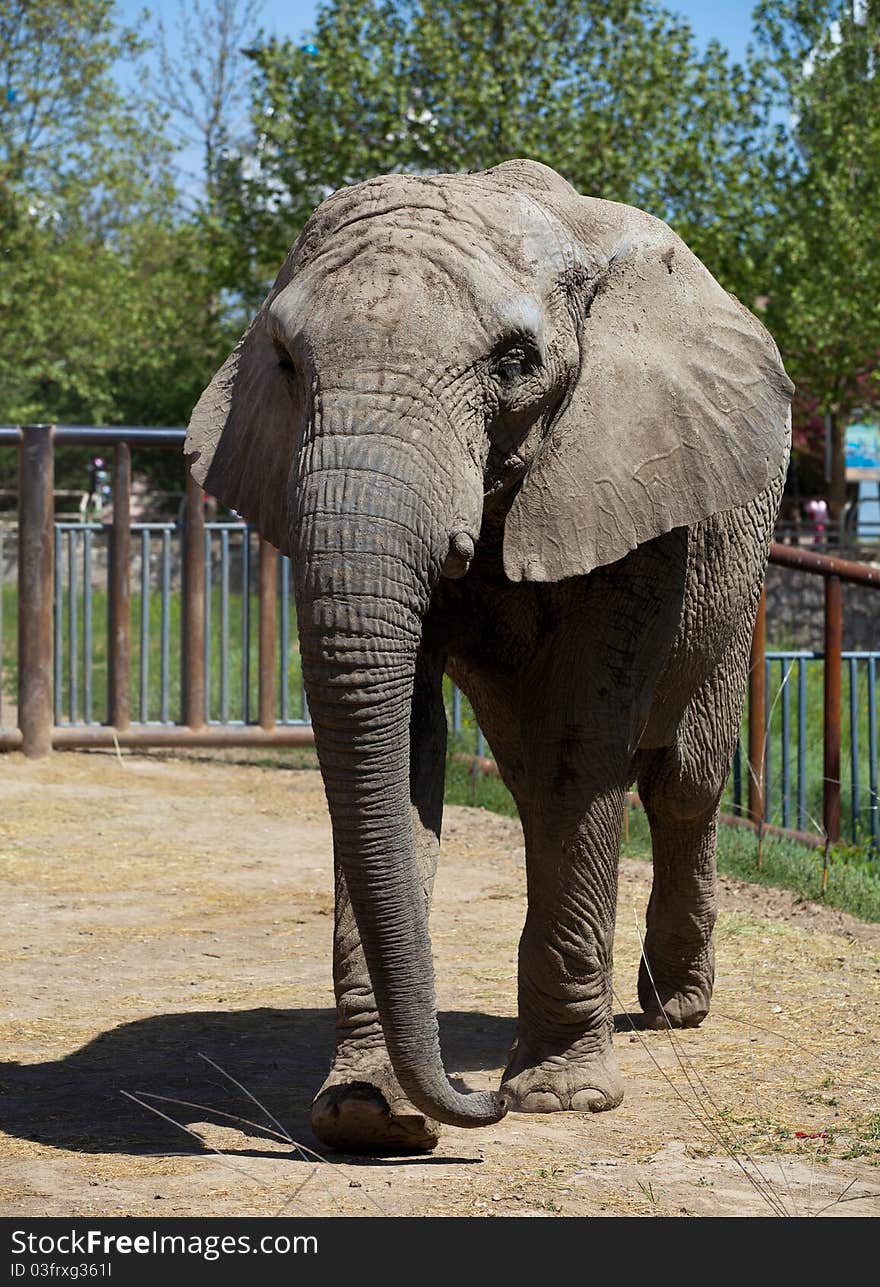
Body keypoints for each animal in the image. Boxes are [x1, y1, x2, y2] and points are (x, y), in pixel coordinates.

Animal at [183, 158, 792, 1158]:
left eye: (513, 363)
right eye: (286, 363)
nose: (476, 1106)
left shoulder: (631, 478)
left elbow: (583, 733)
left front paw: (559, 1098)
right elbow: (407, 742)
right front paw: (365, 1113)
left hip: (737, 563)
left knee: (680, 781)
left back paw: (675, 1007)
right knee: (528, 767)